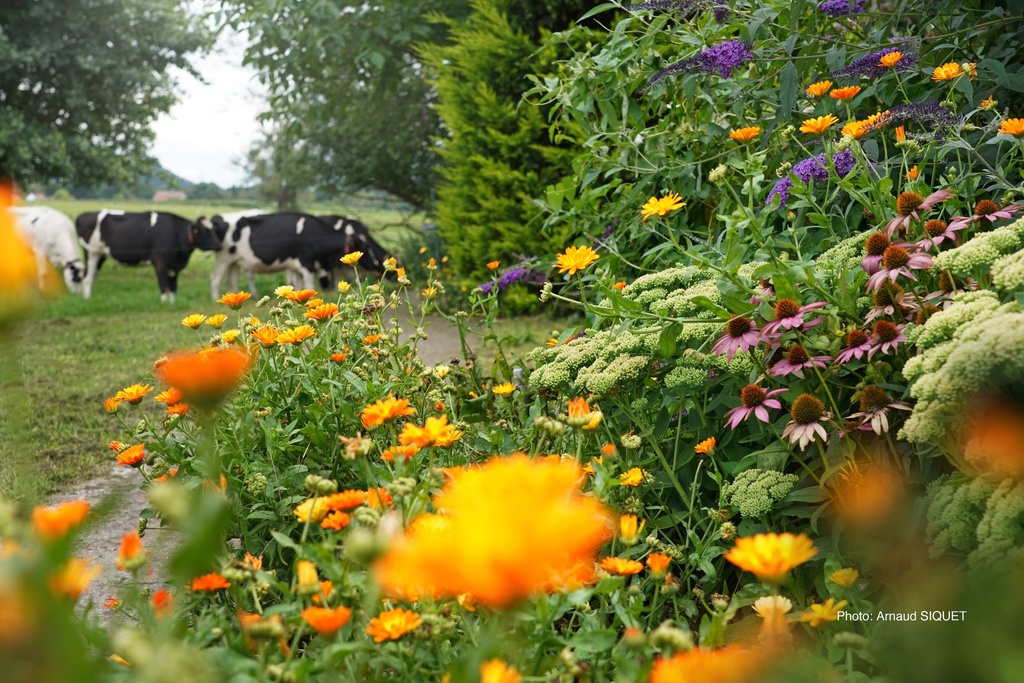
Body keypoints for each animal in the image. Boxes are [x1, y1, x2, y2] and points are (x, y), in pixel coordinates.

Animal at [76, 210, 225, 301]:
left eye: (213, 230)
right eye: (205, 231)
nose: (219, 245)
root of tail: (83, 215)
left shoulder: (174, 267)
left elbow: (173, 287)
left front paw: (172, 304)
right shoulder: (160, 263)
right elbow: (164, 285)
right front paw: (164, 303)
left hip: (100, 255)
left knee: (90, 275)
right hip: (91, 253)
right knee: (87, 277)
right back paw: (87, 299)